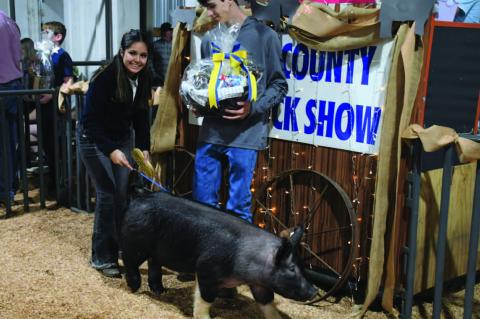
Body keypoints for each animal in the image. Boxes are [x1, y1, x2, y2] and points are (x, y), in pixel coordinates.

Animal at [120, 191, 316, 318]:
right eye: (291, 269)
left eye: (302, 266)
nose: (313, 290)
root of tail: (137, 199)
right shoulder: (206, 268)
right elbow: (204, 299)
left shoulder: (260, 283)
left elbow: (267, 303)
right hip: (135, 243)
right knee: (129, 260)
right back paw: (134, 287)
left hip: (156, 250)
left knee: (154, 263)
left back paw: (160, 291)